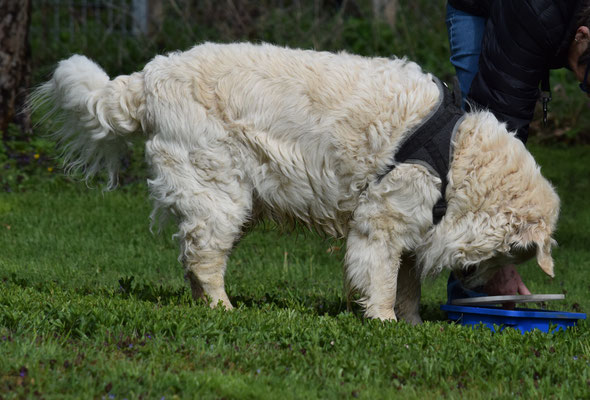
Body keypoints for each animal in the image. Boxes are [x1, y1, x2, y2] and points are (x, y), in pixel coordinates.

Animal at [33, 42, 564, 324]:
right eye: (507, 255)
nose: (475, 284)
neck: (459, 155)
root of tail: (146, 77)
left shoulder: (412, 229)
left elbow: (408, 283)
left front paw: (414, 324)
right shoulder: (382, 222)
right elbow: (382, 279)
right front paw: (385, 322)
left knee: (193, 257)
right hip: (220, 193)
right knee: (203, 256)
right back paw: (224, 308)